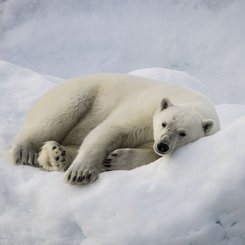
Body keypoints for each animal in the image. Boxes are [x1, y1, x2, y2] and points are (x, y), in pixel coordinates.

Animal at [11, 73, 220, 185]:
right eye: (164, 123)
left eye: (183, 133)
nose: (163, 145)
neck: (192, 102)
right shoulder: (144, 109)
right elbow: (112, 129)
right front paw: (81, 173)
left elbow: (149, 154)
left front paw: (115, 160)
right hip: (78, 92)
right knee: (56, 115)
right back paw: (25, 151)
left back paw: (56, 154)